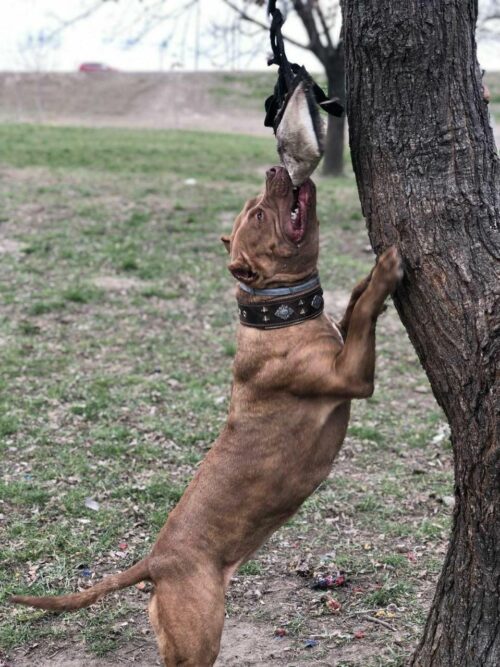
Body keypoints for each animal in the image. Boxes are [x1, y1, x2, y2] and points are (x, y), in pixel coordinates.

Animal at [10, 164, 402, 664]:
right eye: (259, 214)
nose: (274, 168)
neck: (277, 314)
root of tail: (155, 560)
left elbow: (354, 306)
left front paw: (365, 280)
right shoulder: (353, 377)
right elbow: (366, 314)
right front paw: (386, 270)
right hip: (199, 633)